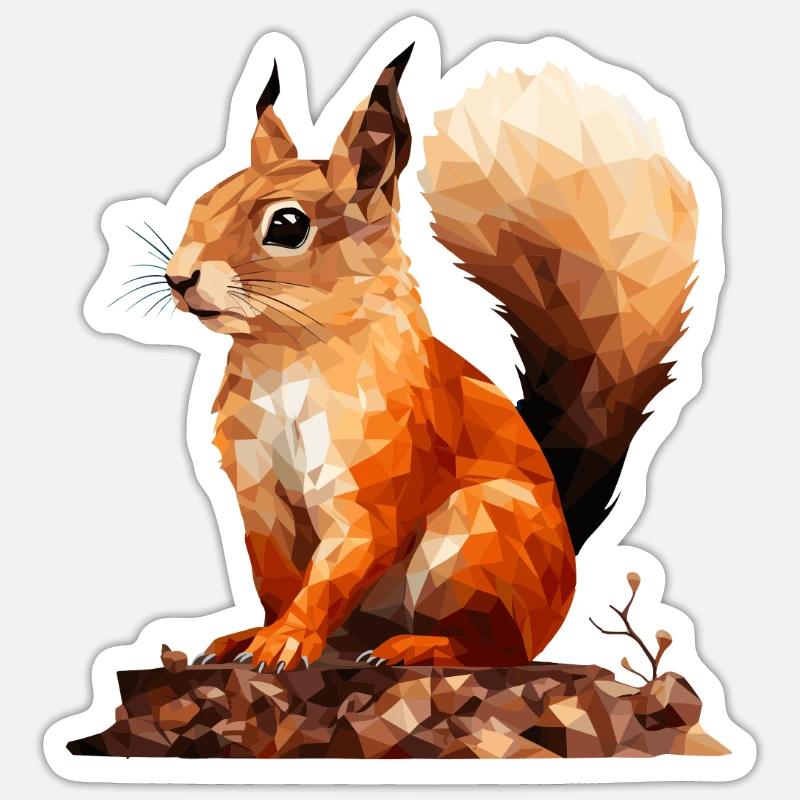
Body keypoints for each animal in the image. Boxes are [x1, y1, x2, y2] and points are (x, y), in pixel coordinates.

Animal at [164, 45, 696, 672]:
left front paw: (287, 639)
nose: (178, 278)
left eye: (289, 225)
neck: (288, 360)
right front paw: (258, 634)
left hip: (475, 542)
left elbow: (340, 563)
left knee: (496, 649)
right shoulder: (257, 492)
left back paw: (419, 646)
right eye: (201, 201)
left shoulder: (380, 473)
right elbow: (274, 577)